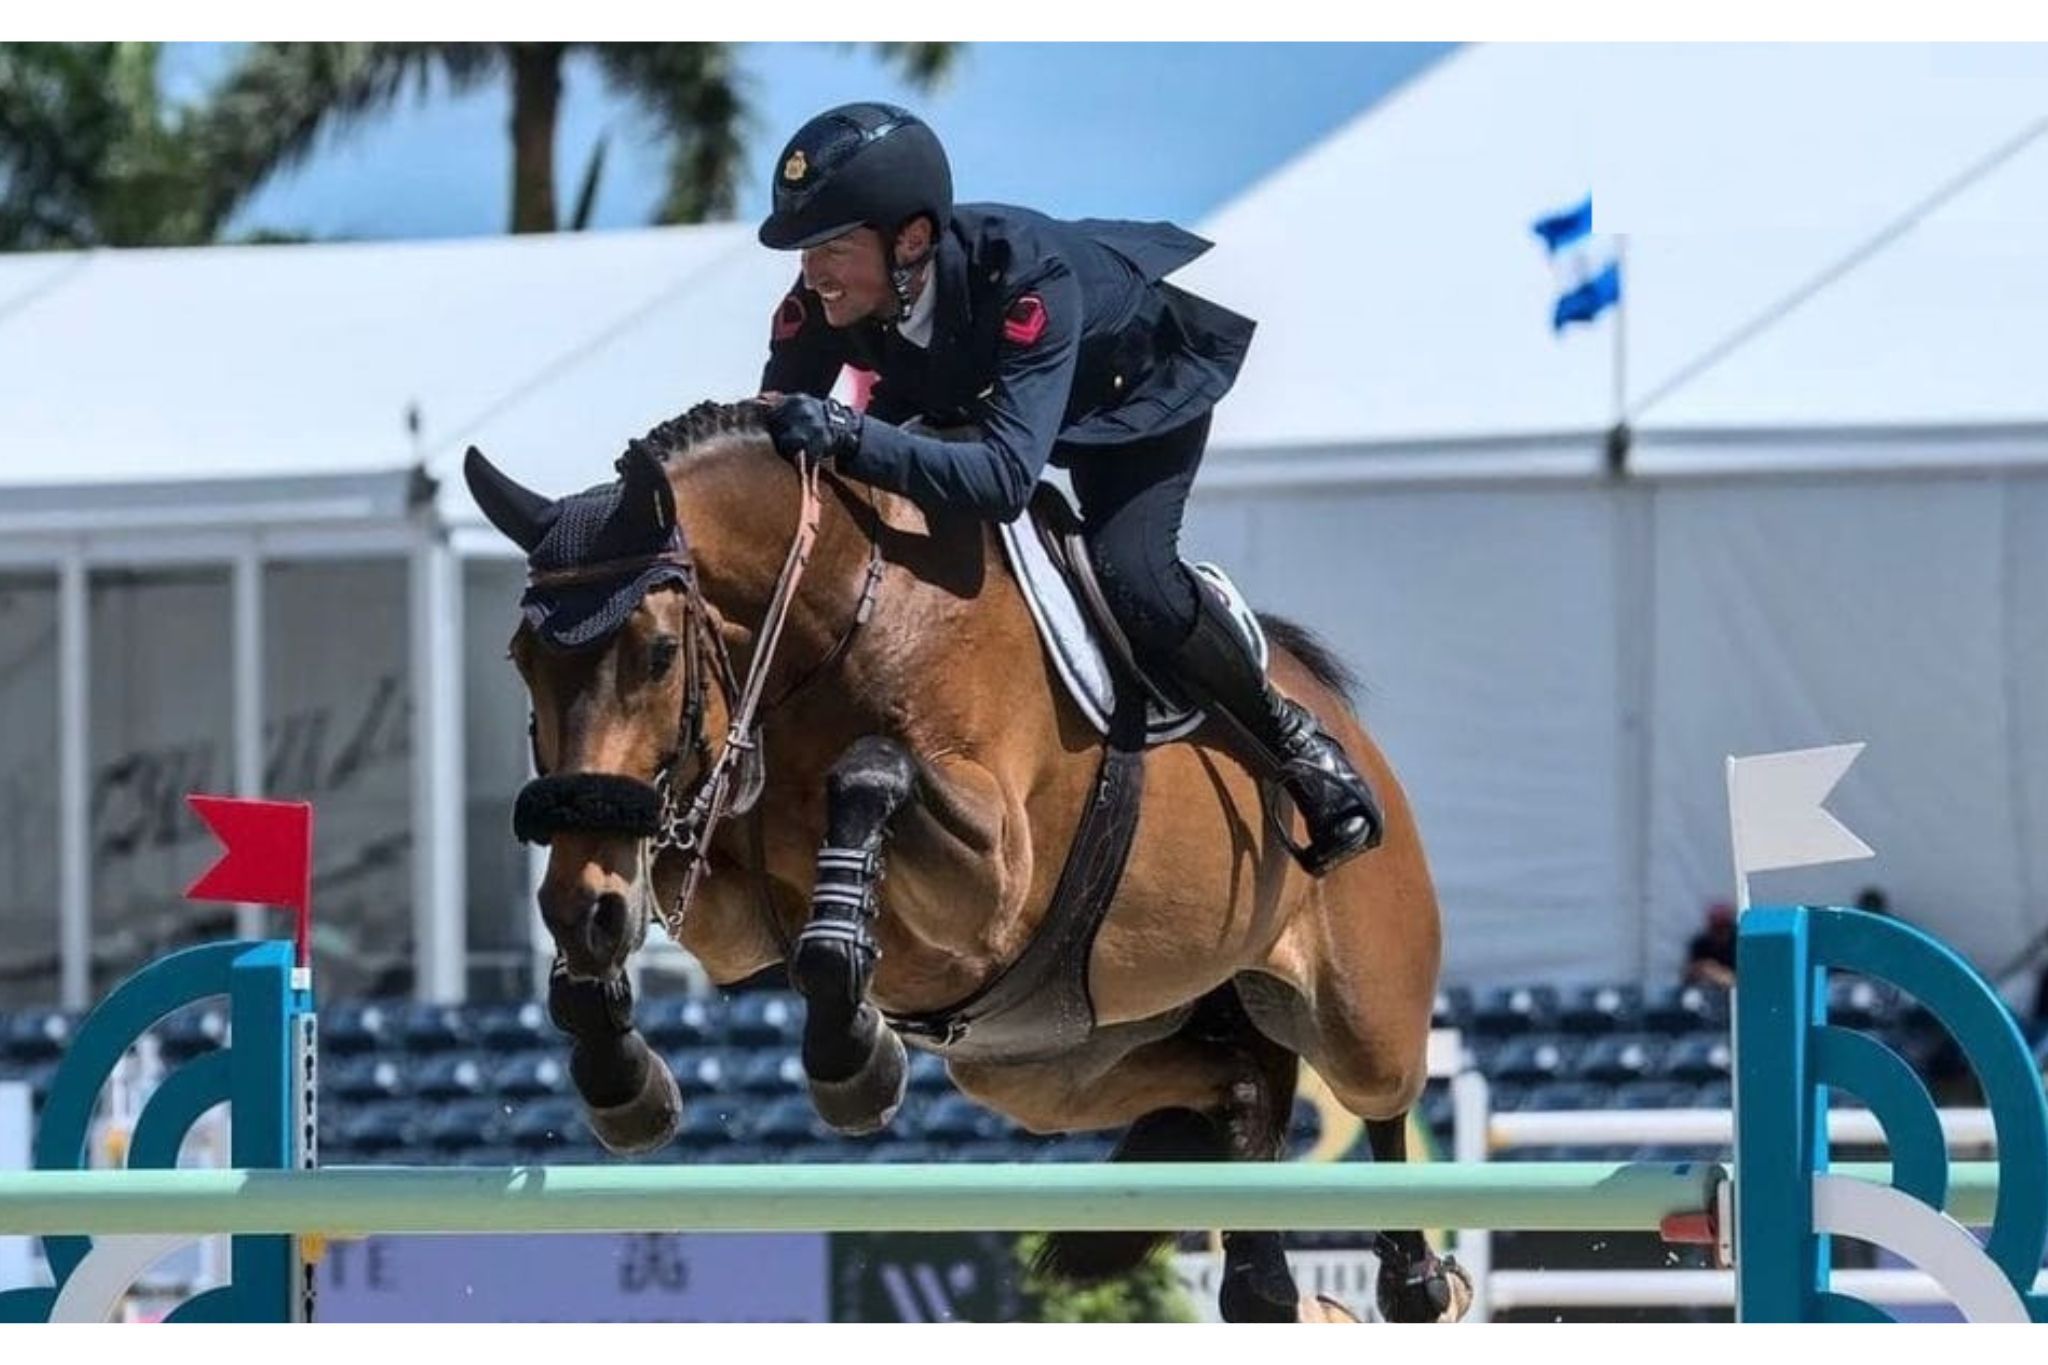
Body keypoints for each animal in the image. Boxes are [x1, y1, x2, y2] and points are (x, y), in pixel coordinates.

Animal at [463, 400, 1468, 1323]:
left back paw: (1415, 1281)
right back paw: (1265, 1280)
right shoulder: (731, 911)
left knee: (1380, 1094)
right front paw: (618, 1061)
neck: (839, 620)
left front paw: (853, 1053)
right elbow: (679, 911)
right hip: (1049, 1061)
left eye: (659, 652)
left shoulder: (992, 877)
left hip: (1358, 1010)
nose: (582, 899)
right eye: (520, 660)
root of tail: (1352, 734)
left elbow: (870, 776)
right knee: (1243, 1085)